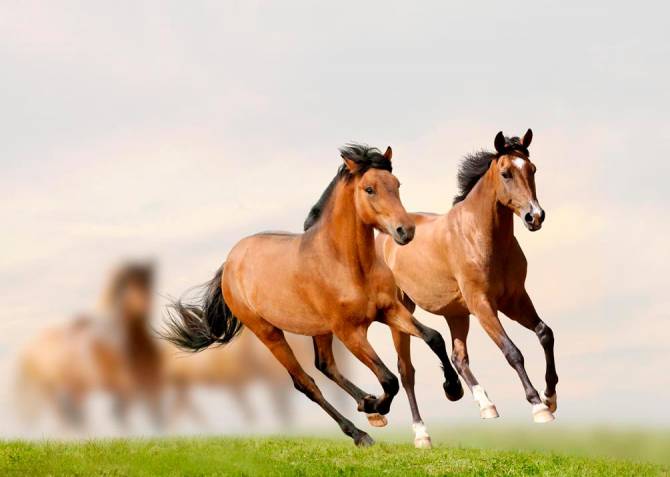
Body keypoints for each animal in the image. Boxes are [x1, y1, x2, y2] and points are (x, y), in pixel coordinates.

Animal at [163, 144, 464, 446]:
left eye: (396, 185)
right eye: (369, 189)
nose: (406, 231)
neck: (348, 264)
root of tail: (230, 262)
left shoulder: (389, 310)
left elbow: (433, 338)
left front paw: (453, 389)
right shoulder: (350, 331)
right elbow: (389, 379)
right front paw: (377, 405)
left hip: (319, 329)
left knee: (325, 365)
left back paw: (365, 405)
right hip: (269, 333)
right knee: (305, 382)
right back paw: (360, 431)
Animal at [380, 129, 560, 446]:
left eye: (532, 169)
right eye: (506, 173)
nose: (534, 216)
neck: (481, 237)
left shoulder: (514, 300)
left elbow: (544, 333)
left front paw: (550, 397)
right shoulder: (482, 304)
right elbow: (512, 351)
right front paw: (538, 406)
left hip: (456, 314)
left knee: (458, 358)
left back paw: (484, 404)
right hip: (401, 312)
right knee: (406, 371)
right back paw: (421, 434)